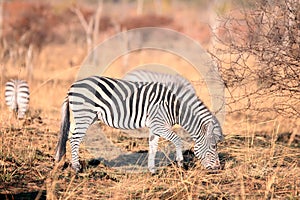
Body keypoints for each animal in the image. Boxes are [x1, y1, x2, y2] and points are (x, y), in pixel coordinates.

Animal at [54, 76, 224, 173]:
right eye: (213, 147)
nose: (218, 168)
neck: (173, 108)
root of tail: (73, 86)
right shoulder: (160, 124)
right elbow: (177, 140)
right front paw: (181, 163)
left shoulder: (155, 127)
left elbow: (153, 147)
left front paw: (152, 170)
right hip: (84, 115)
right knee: (74, 139)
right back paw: (76, 168)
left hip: (83, 116)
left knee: (69, 135)